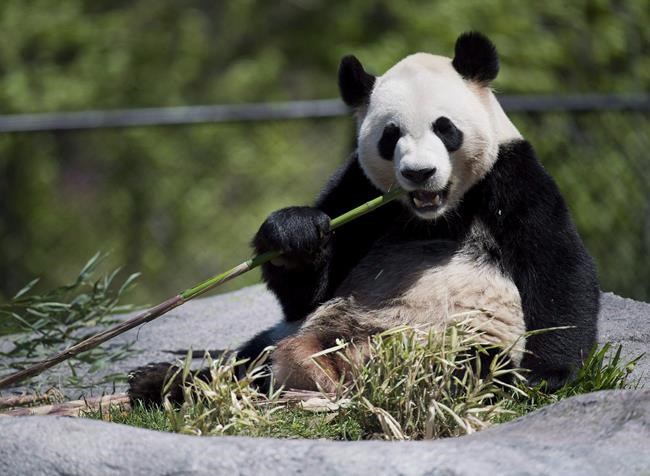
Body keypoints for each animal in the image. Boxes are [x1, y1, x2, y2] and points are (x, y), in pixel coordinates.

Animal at [129, 31, 599, 404]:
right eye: (390, 136)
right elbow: (309, 290)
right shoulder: (360, 187)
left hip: (457, 339)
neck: (437, 213)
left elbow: (557, 268)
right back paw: (160, 382)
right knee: (249, 360)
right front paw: (294, 233)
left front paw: (545, 376)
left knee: (467, 366)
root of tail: (339, 366)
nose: (419, 173)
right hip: (296, 333)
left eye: (445, 128)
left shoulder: (512, 177)